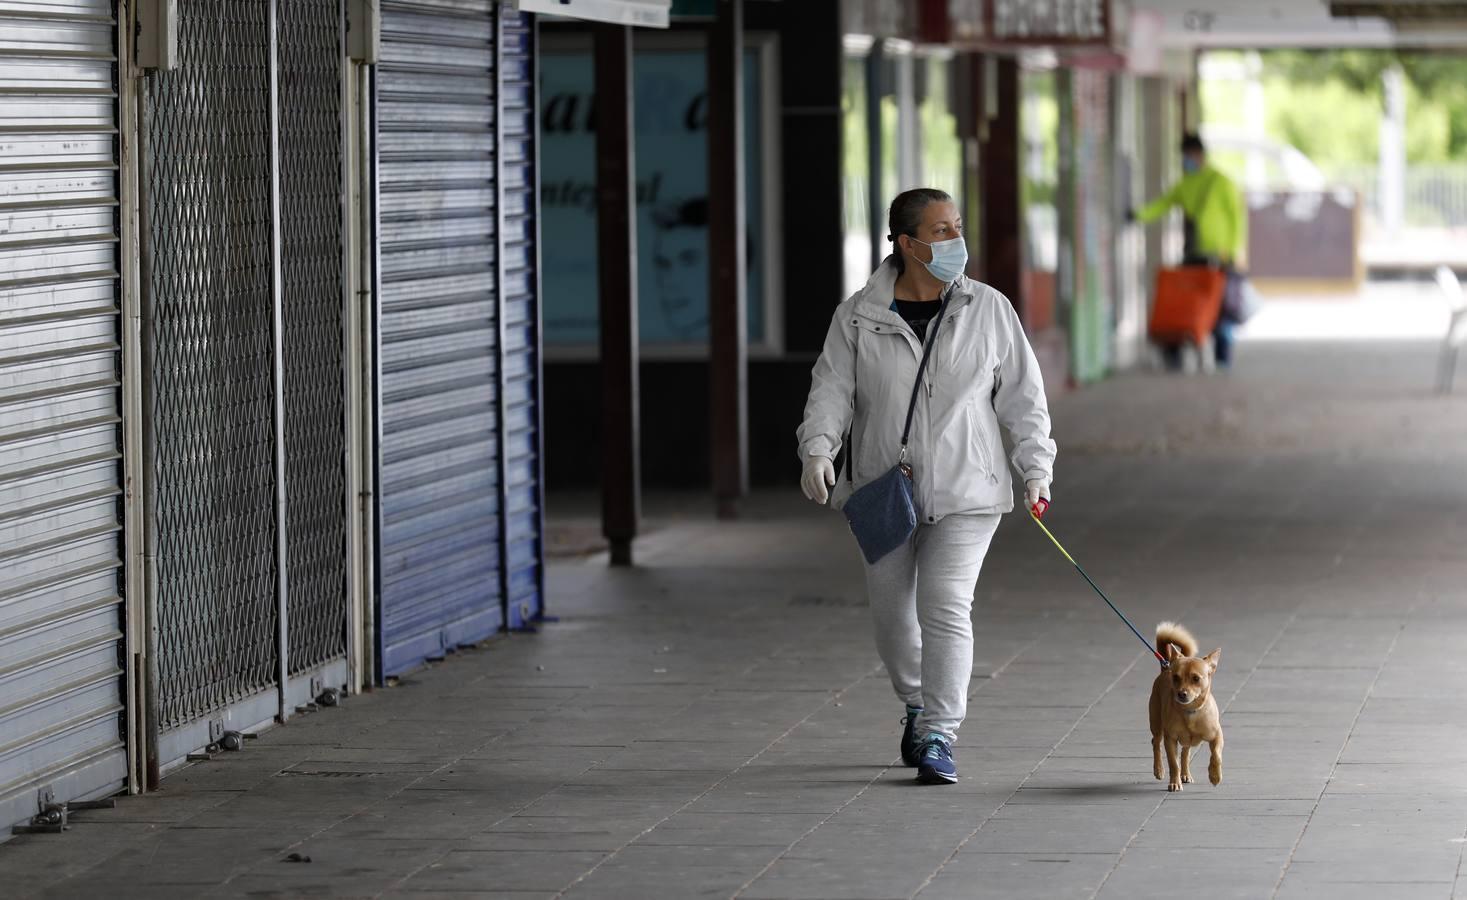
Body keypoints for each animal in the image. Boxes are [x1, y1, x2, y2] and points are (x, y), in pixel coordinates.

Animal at [1150, 622, 1220, 786]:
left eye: (1196, 678)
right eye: (1176, 677)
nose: (1181, 693)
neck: (1190, 711)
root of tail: (1166, 666)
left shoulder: (1217, 736)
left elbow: (1216, 755)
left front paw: (1215, 775)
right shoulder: (1170, 740)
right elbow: (1173, 763)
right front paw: (1174, 783)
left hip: (1187, 742)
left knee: (1185, 753)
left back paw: (1186, 774)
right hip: (1157, 725)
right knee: (1156, 743)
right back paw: (1159, 770)